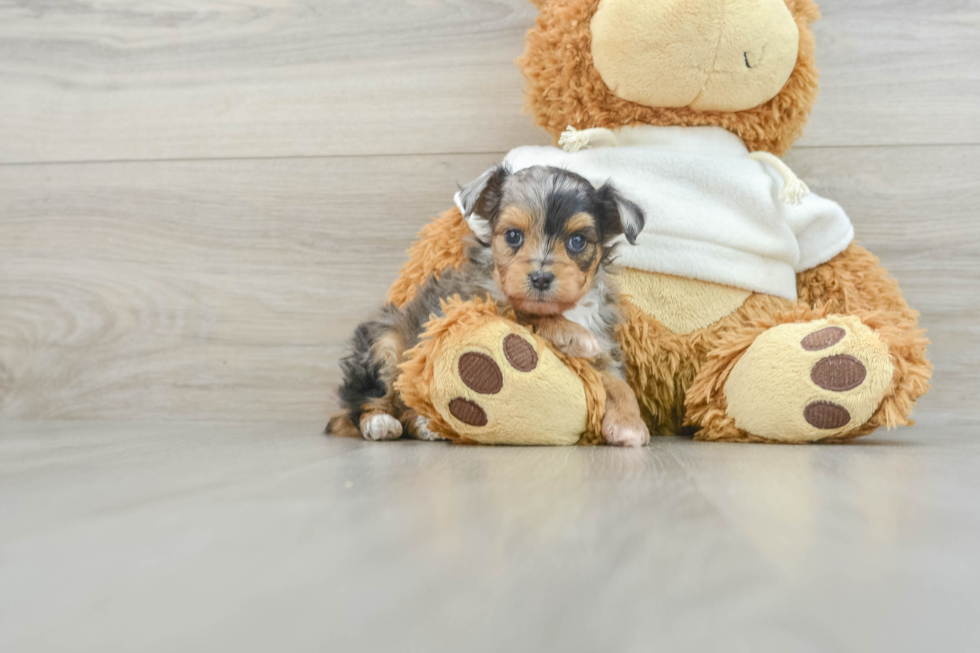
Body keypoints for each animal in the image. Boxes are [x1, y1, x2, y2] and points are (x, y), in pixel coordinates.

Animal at [328, 166, 652, 446]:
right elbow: (525, 313)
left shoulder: (605, 346)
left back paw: (426, 425)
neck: (567, 309)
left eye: (577, 241)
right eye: (513, 236)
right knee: (363, 400)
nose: (541, 278)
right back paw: (380, 422)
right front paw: (573, 335)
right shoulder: (476, 307)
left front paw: (629, 424)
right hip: (385, 345)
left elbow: (620, 384)